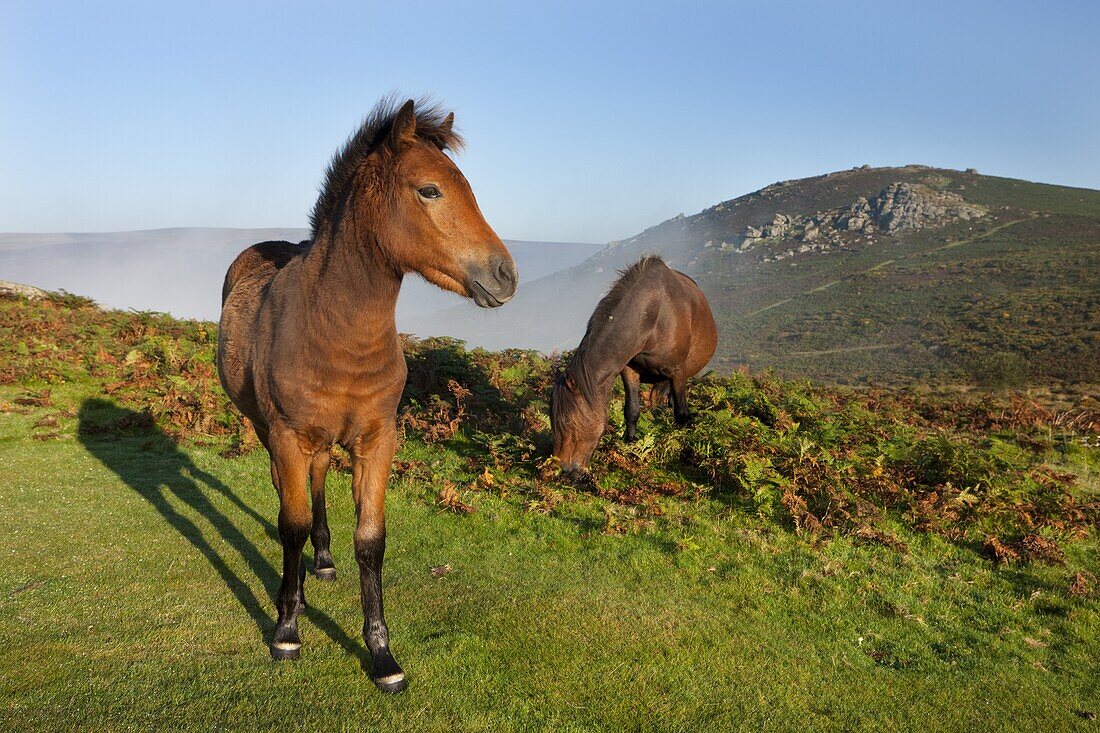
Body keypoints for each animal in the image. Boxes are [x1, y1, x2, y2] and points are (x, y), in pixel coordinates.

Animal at [221, 98, 521, 691]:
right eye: (429, 190)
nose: (505, 275)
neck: (337, 333)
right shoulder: (288, 435)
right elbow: (290, 527)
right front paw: (287, 628)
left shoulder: (378, 440)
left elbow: (371, 539)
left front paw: (382, 654)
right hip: (271, 432)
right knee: (290, 495)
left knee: (316, 483)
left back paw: (323, 559)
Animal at [547, 255, 712, 473]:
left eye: (568, 421)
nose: (563, 469)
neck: (654, 316)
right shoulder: (629, 371)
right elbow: (631, 410)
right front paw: (631, 442)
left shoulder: (678, 372)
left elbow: (682, 413)